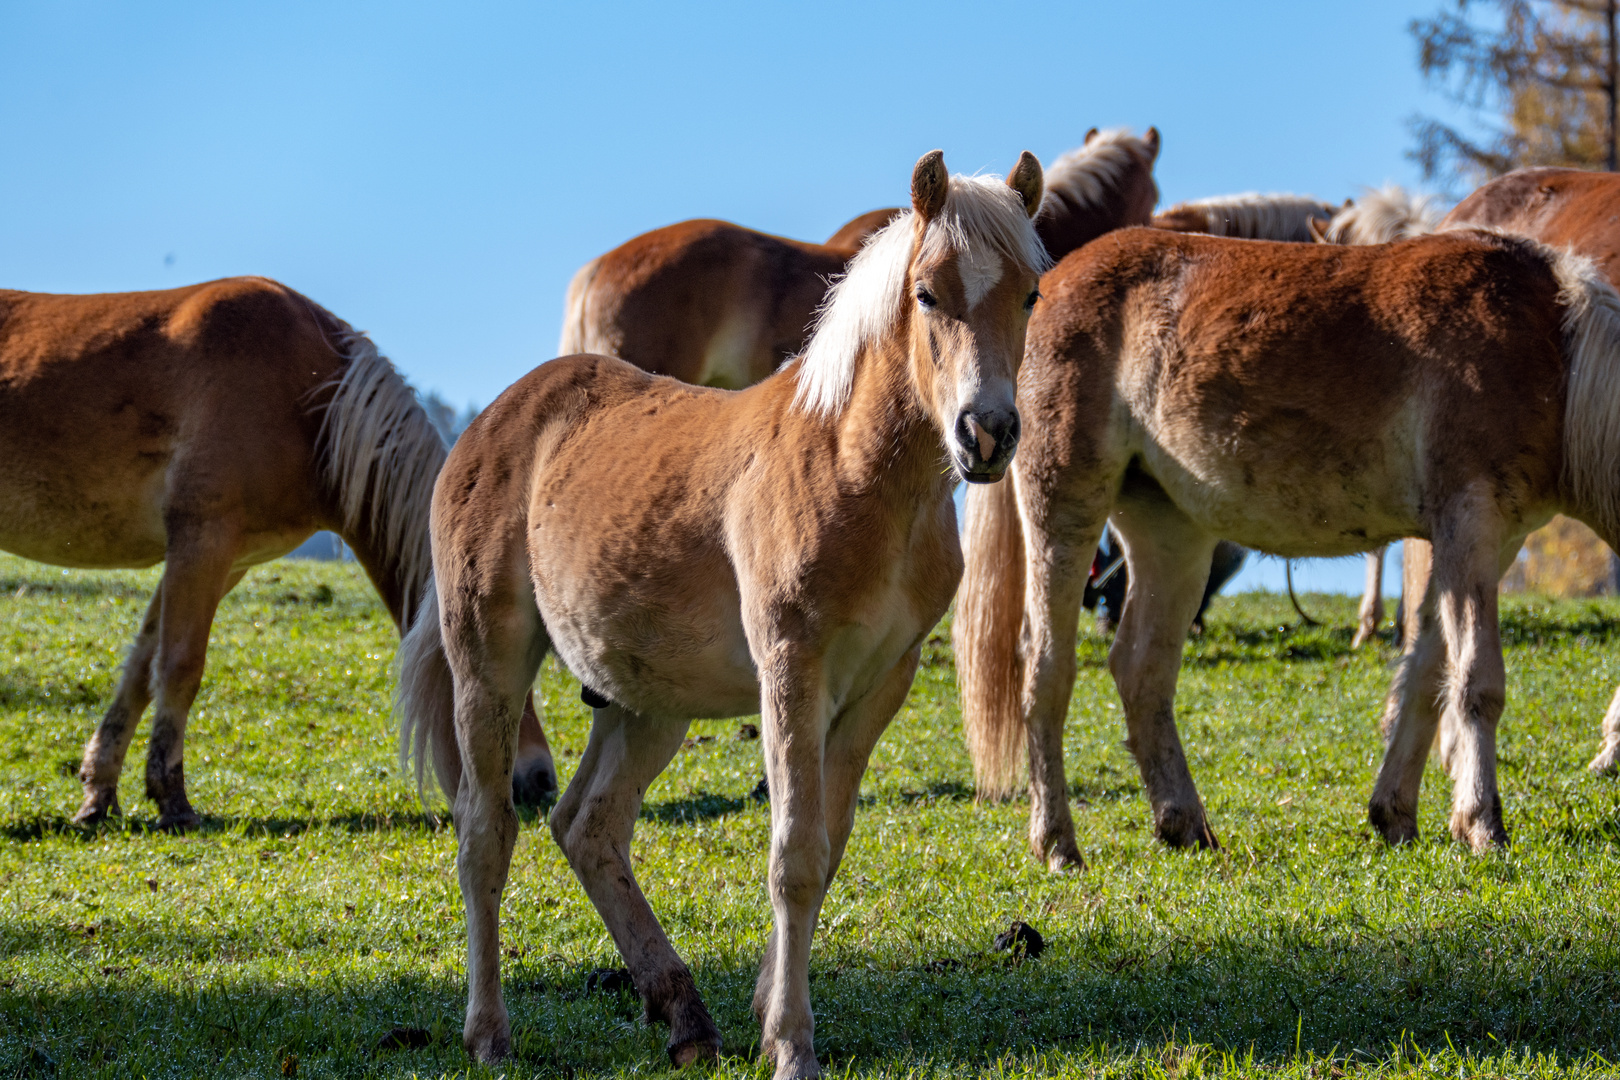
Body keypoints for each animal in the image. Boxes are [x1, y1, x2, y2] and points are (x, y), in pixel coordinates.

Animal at [0, 278, 567, 829]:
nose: (541, 780)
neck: (311, 406)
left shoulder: (223, 563)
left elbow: (141, 670)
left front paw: (99, 796)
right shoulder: (201, 542)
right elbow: (180, 668)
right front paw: (173, 800)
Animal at [395, 149, 1049, 1075]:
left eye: (1029, 293)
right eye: (927, 292)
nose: (986, 433)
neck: (857, 471)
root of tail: (492, 423)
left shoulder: (878, 685)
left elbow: (826, 846)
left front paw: (769, 1012)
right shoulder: (792, 670)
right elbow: (795, 856)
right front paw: (793, 1044)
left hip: (647, 702)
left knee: (587, 826)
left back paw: (684, 1015)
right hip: (488, 665)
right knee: (488, 832)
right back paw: (489, 1032)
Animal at [952, 221, 1620, 867]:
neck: (1551, 346)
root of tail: (1050, 284)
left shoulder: (1484, 543)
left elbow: (1428, 675)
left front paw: (1396, 814)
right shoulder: (1470, 523)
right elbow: (1477, 682)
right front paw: (1482, 825)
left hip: (1171, 531)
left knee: (1142, 669)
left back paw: (1184, 825)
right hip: (1064, 510)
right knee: (1045, 666)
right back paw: (1057, 843)